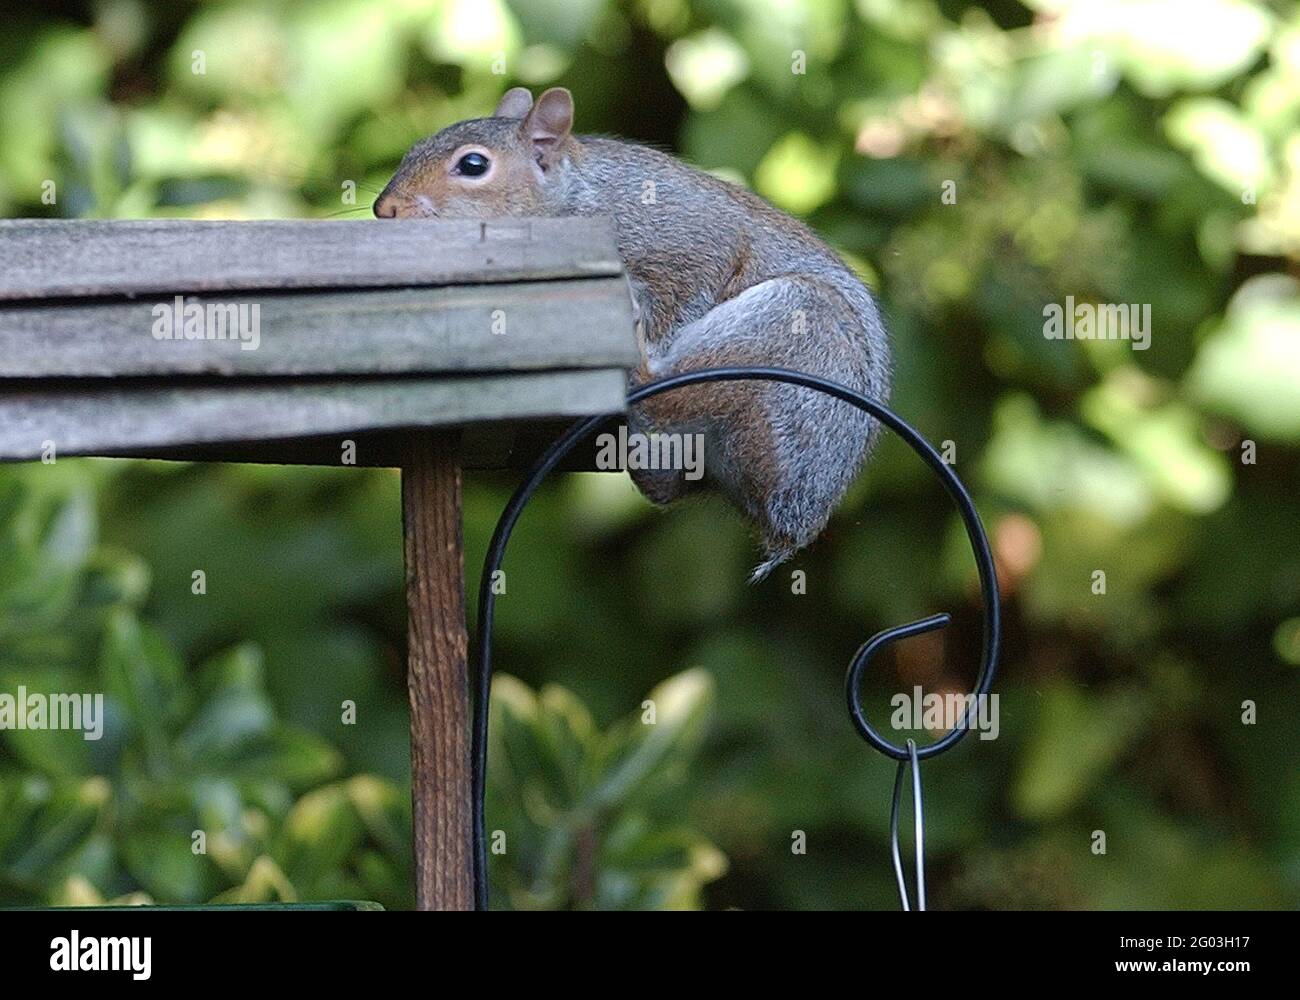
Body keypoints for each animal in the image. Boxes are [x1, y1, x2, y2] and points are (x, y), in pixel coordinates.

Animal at [376, 87, 891, 581]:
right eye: (413, 150)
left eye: (473, 165)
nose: (385, 209)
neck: (574, 198)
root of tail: (794, 520)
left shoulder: (687, 243)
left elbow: (693, 285)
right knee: (663, 481)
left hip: (795, 328)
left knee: (657, 392)